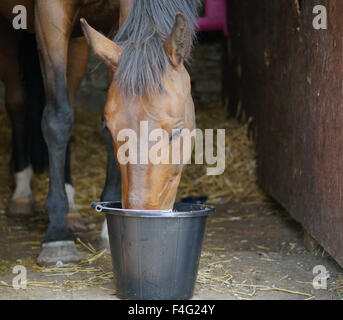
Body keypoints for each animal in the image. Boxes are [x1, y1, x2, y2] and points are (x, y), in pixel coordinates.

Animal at [0, 0, 202, 264]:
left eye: (177, 131)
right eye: (112, 127)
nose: (144, 211)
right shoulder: (49, 12)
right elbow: (57, 120)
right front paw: (57, 235)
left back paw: (71, 209)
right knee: (18, 103)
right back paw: (23, 192)